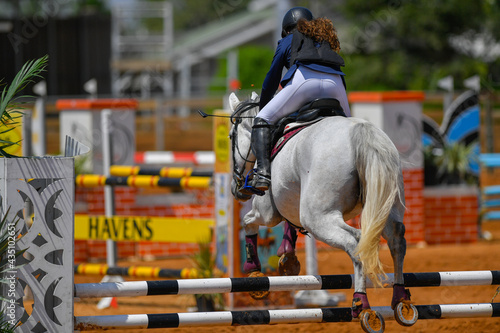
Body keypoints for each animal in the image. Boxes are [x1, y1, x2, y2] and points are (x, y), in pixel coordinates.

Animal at [229, 91, 416, 332]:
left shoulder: (267, 211)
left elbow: (248, 221)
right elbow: (289, 225)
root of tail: (363, 134)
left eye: (231, 138)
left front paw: (253, 269)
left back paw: (362, 304)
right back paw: (401, 301)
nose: (237, 189)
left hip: (318, 218)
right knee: (396, 241)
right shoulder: (292, 201)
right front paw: (288, 259)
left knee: (355, 242)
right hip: (385, 208)